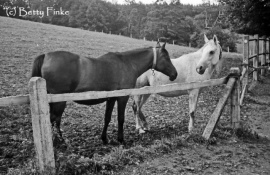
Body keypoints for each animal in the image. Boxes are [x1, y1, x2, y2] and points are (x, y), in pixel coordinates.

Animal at [30, 42, 177, 144]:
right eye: (166, 57)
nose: (174, 74)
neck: (127, 63)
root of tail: (46, 56)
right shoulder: (122, 98)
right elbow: (120, 119)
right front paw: (121, 140)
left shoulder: (111, 98)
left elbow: (107, 118)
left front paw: (104, 139)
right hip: (59, 101)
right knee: (55, 119)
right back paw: (60, 141)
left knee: (54, 120)